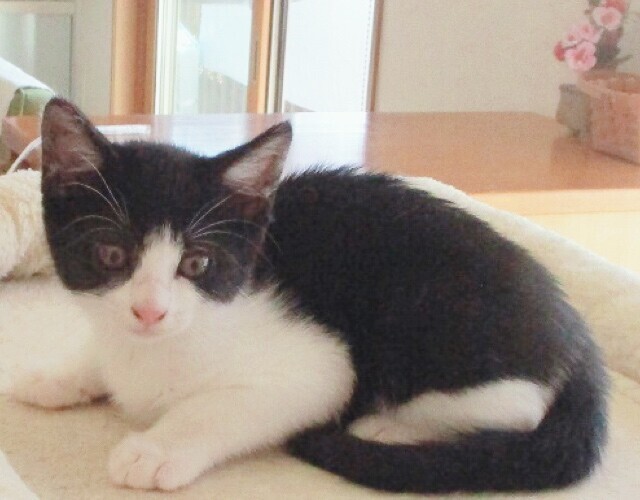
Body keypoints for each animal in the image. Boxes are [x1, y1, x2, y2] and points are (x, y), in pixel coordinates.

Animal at [12, 97, 607, 494]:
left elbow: (221, 407)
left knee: (521, 408)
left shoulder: (320, 366)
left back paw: (388, 427)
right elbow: (99, 352)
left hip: (430, 318)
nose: (150, 310)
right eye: (111, 255)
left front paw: (156, 447)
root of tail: (578, 336)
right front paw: (59, 374)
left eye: (197, 263)